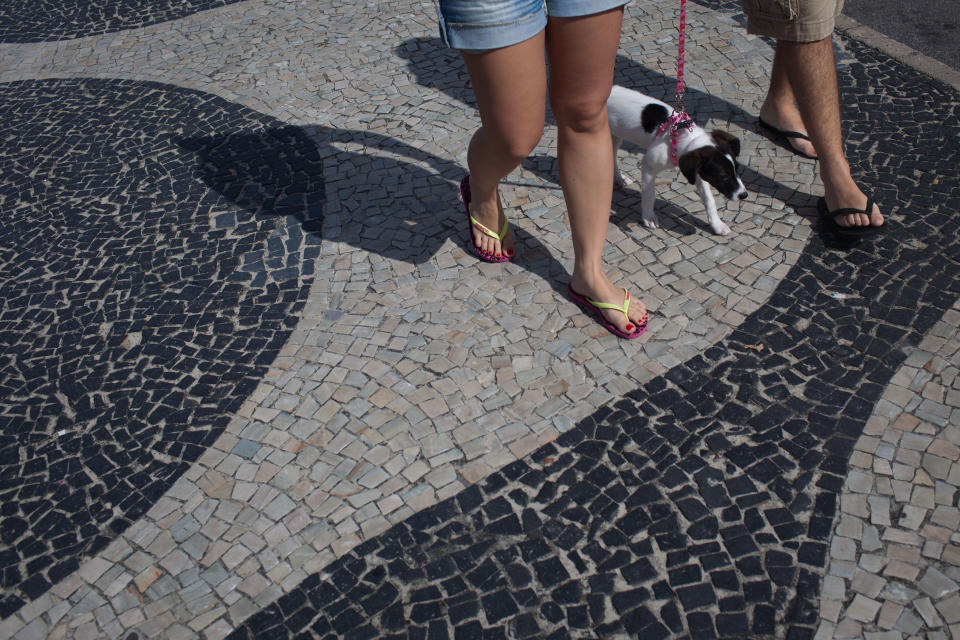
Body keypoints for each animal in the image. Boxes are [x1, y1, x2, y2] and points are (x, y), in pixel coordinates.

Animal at [608, 84, 752, 235]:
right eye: (723, 176)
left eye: (737, 170)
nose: (744, 195)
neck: (681, 137)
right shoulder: (648, 165)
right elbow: (649, 195)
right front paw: (648, 217)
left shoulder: (697, 172)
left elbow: (709, 199)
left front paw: (717, 224)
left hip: (614, 136)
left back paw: (619, 179)